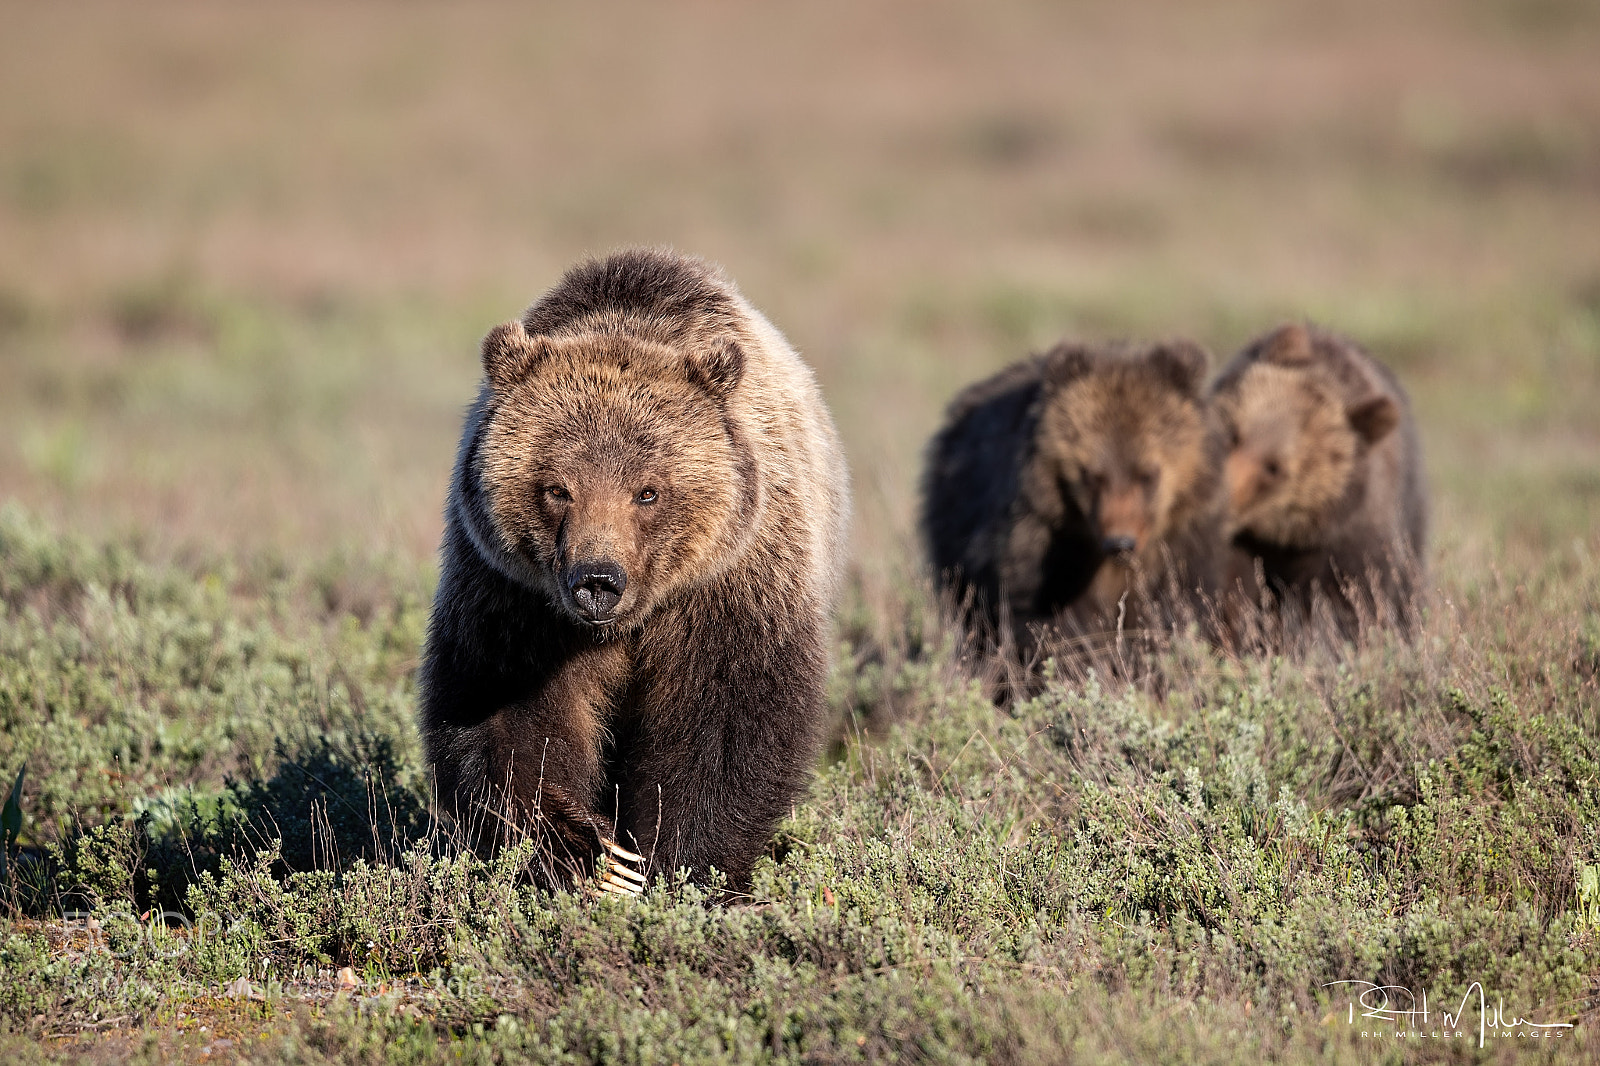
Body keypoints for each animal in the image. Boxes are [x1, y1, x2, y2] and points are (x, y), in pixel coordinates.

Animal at [422, 246, 851, 889]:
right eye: (557, 488)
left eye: (647, 491)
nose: (598, 580)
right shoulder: (513, 596)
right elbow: (504, 710)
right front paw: (584, 850)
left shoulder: (728, 583)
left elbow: (726, 721)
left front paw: (671, 865)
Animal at [921, 340, 1216, 656]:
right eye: (1092, 475)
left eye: (1147, 473)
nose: (1120, 543)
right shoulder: (1043, 544)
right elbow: (1049, 617)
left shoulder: (1182, 544)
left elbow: (1177, 604)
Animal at [1209, 321, 1427, 640]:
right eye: (1234, 434)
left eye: (1274, 467)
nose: (1221, 496)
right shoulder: (1243, 544)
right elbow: (1230, 591)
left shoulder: (1353, 539)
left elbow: (1355, 601)